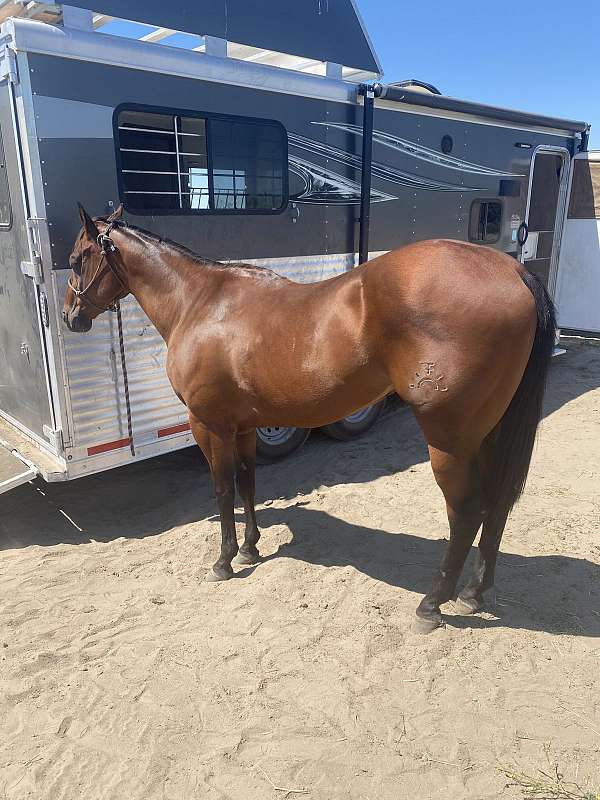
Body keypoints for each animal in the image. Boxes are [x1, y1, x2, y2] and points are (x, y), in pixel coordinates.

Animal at [63, 204, 556, 633]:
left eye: (75, 260)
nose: (70, 317)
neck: (202, 303)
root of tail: (512, 271)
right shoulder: (244, 426)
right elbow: (249, 483)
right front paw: (250, 549)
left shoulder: (209, 425)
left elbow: (223, 489)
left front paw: (224, 561)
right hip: (489, 434)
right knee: (498, 501)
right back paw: (474, 592)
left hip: (449, 440)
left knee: (467, 510)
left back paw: (432, 604)